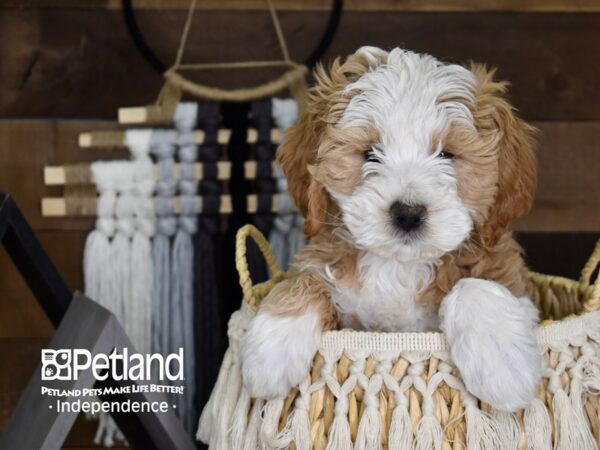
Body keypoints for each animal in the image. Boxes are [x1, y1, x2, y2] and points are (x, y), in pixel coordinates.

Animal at [240, 47, 544, 414]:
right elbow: (304, 279)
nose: (408, 214)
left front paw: (503, 367)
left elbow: (474, 284)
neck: (399, 265)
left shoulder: (514, 285)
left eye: (447, 154)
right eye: (370, 153)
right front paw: (270, 351)